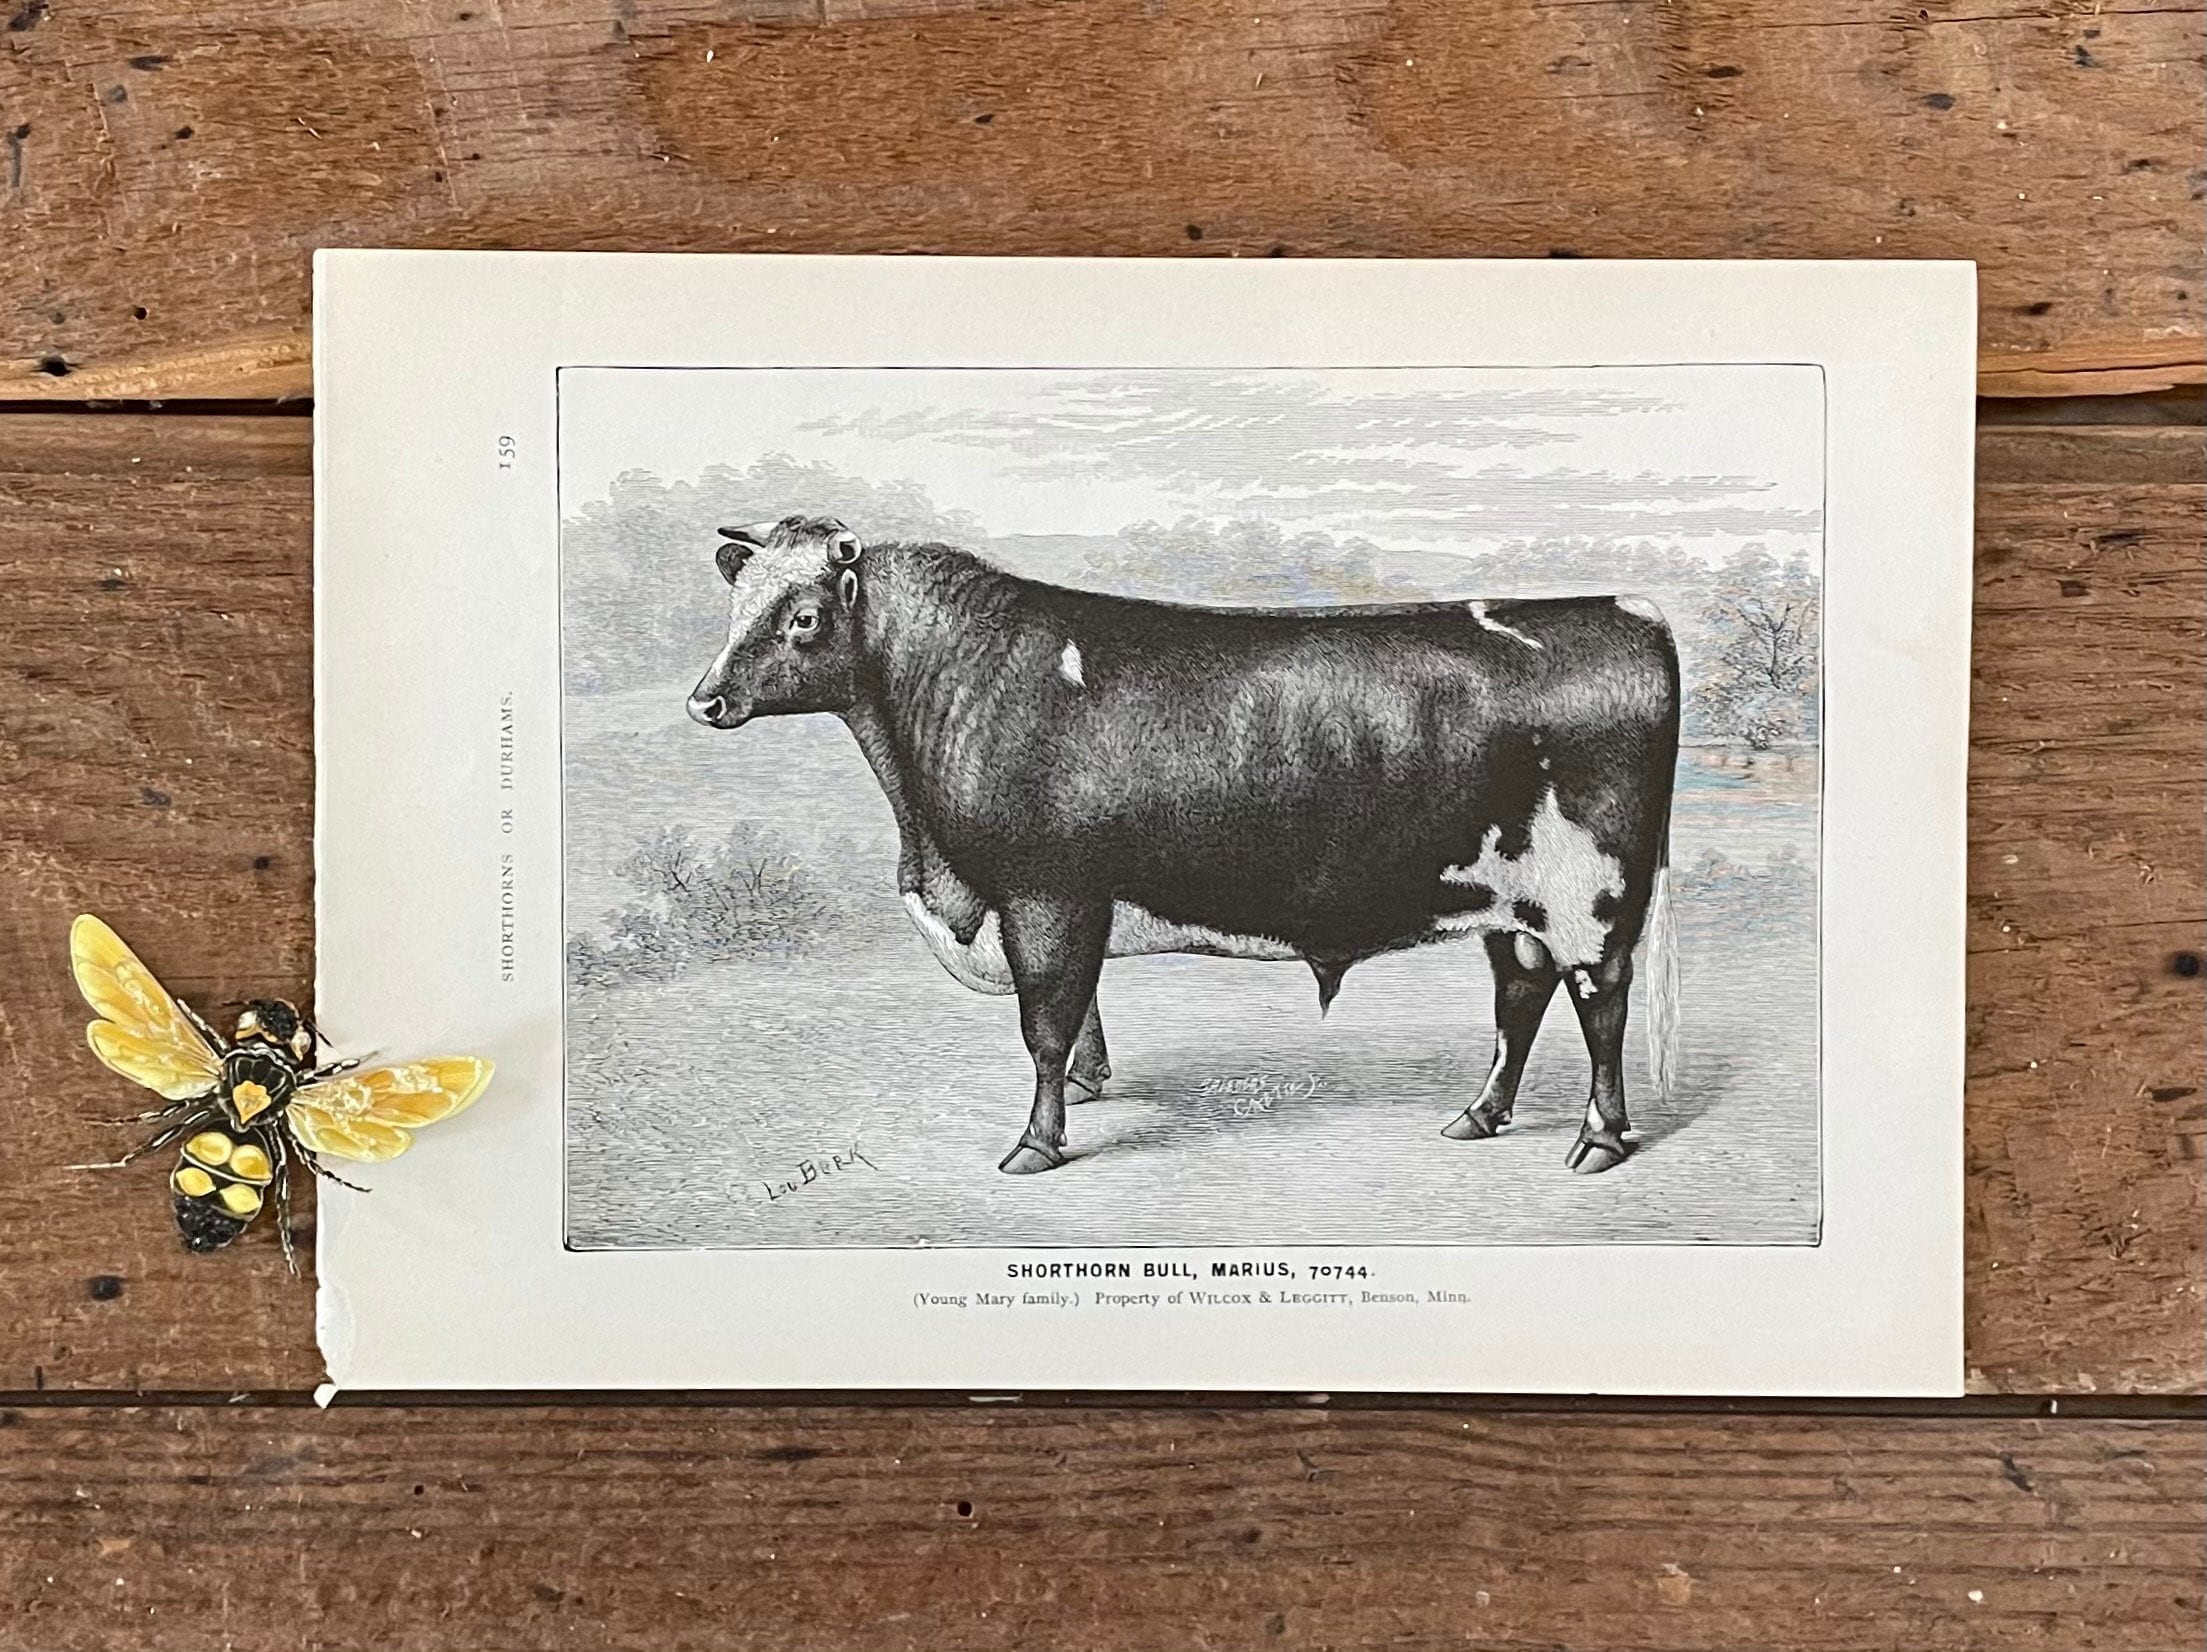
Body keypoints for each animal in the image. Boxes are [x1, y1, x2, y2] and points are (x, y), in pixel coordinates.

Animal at [686, 514, 1681, 1178]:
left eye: (803, 617)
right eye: (736, 607)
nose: (706, 700)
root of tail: (1624, 609)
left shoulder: (1044, 892)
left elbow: (1042, 1025)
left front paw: (1035, 1143)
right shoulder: (1063, 901)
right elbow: (1079, 1011)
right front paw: (1090, 1085)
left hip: (1589, 895)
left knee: (1597, 1003)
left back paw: (1596, 1141)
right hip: (1508, 899)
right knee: (1521, 995)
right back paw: (1479, 1116)